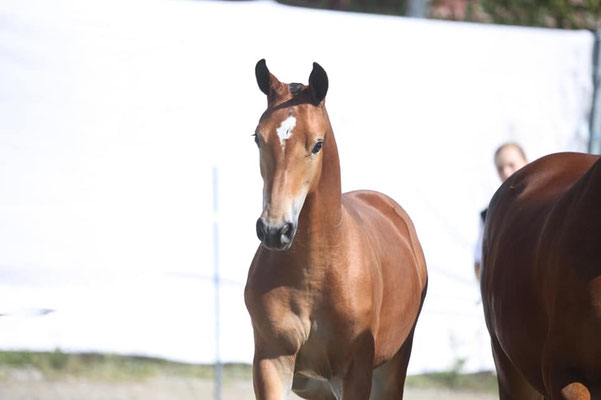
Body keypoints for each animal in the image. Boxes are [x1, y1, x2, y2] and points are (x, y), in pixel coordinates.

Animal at [243, 60, 426, 400]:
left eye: (318, 144)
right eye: (257, 138)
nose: (275, 230)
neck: (314, 272)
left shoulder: (354, 372)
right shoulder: (272, 363)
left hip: (391, 368)